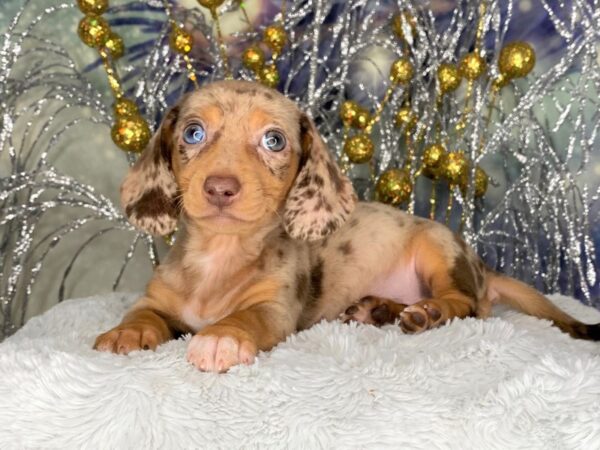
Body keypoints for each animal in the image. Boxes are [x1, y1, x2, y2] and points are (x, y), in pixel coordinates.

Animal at [91, 80, 596, 372]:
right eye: (193, 133)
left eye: (273, 141)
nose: (219, 188)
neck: (220, 253)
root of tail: (482, 267)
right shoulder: (157, 299)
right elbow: (141, 313)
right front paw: (126, 333)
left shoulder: (274, 309)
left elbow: (244, 317)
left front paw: (221, 337)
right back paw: (381, 310)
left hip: (437, 247)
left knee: (469, 305)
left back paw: (430, 312)